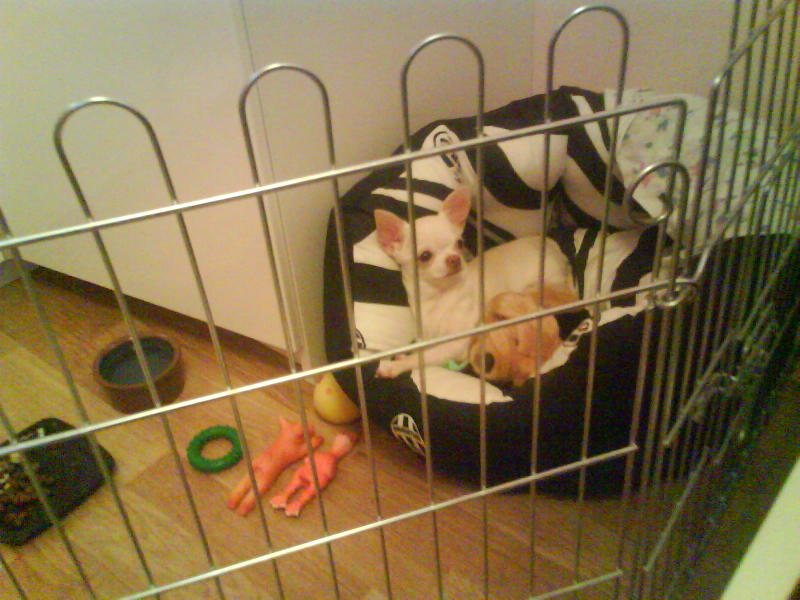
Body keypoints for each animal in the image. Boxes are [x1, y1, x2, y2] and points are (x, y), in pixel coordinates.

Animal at [373, 186, 575, 378]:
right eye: (425, 256)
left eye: (459, 244)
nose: (454, 258)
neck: (439, 296)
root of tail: (552, 246)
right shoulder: (429, 335)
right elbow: (420, 347)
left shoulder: (456, 344)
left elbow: (423, 357)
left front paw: (394, 366)